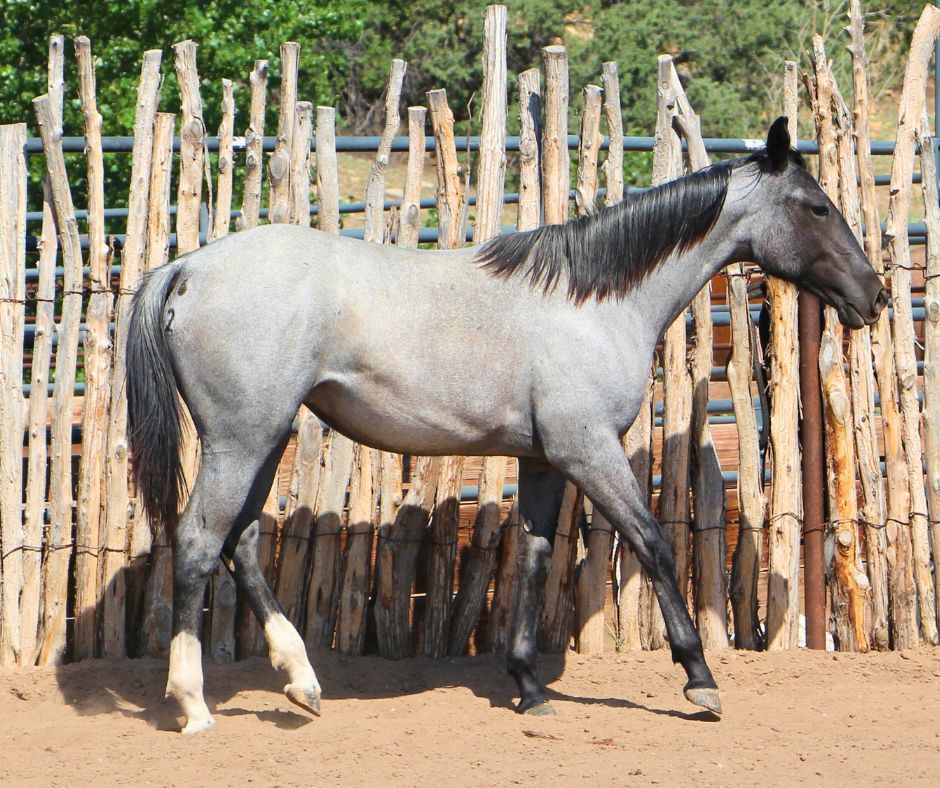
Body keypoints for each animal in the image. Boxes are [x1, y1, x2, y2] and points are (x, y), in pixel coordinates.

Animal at [127, 117, 886, 734]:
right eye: (817, 206)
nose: (874, 294)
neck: (593, 299)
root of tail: (190, 266)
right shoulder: (588, 450)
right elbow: (652, 544)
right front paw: (700, 680)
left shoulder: (546, 460)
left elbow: (536, 555)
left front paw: (526, 684)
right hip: (241, 440)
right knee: (198, 544)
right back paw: (194, 704)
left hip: (264, 438)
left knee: (242, 542)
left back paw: (302, 683)